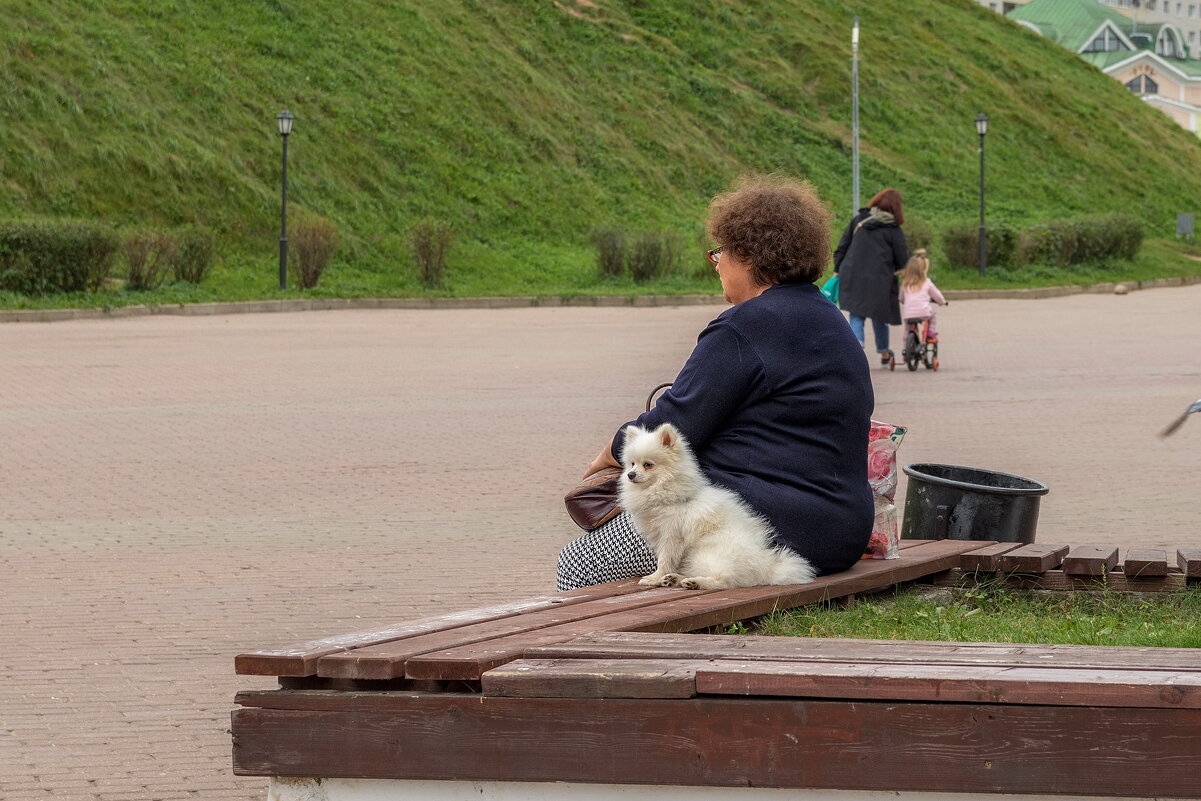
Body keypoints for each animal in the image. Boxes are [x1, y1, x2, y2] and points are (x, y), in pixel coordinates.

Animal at [619, 425, 816, 588]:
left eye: (648, 465)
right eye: (632, 464)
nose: (630, 474)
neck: (665, 493)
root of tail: (765, 568)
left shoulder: (671, 535)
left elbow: (665, 560)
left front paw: (654, 578)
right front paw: (660, 577)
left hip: (705, 555)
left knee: (724, 580)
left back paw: (695, 583)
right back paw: (676, 579)